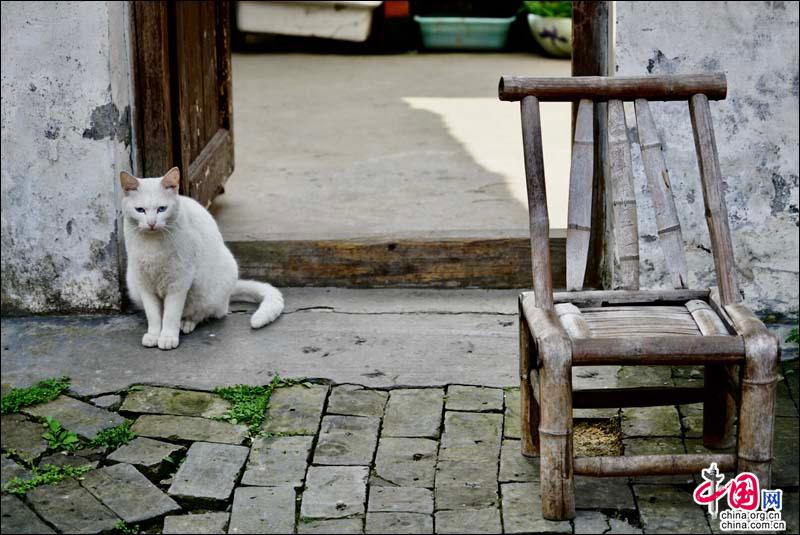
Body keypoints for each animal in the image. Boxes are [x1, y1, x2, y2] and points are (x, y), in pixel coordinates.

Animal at [117, 169, 282, 352]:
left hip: (209, 290)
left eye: (162, 209)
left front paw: (167, 337)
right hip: (133, 285)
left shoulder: (178, 283)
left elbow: (171, 315)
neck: (152, 244)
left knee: (206, 313)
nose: (151, 223)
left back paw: (186, 323)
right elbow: (153, 315)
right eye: (140, 210)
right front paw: (154, 334)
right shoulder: (144, 284)